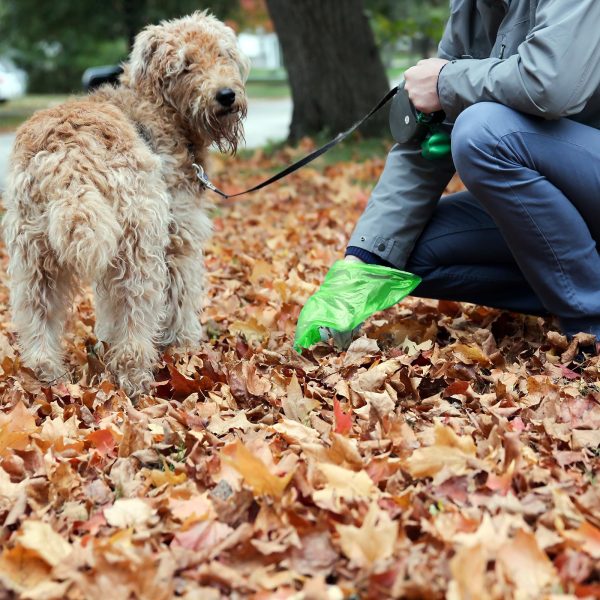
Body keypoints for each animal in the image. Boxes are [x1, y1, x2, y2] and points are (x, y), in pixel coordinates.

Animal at [2, 11, 248, 396]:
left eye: (222, 54)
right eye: (185, 65)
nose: (226, 95)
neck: (159, 107)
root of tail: (70, 155)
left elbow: (107, 310)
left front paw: (106, 341)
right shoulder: (179, 239)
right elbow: (180, 299)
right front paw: (183, 348)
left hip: (34, 256)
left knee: (37, 318)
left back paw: (48, 376)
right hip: (140, 246)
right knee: (136, 317)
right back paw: (137, 379)